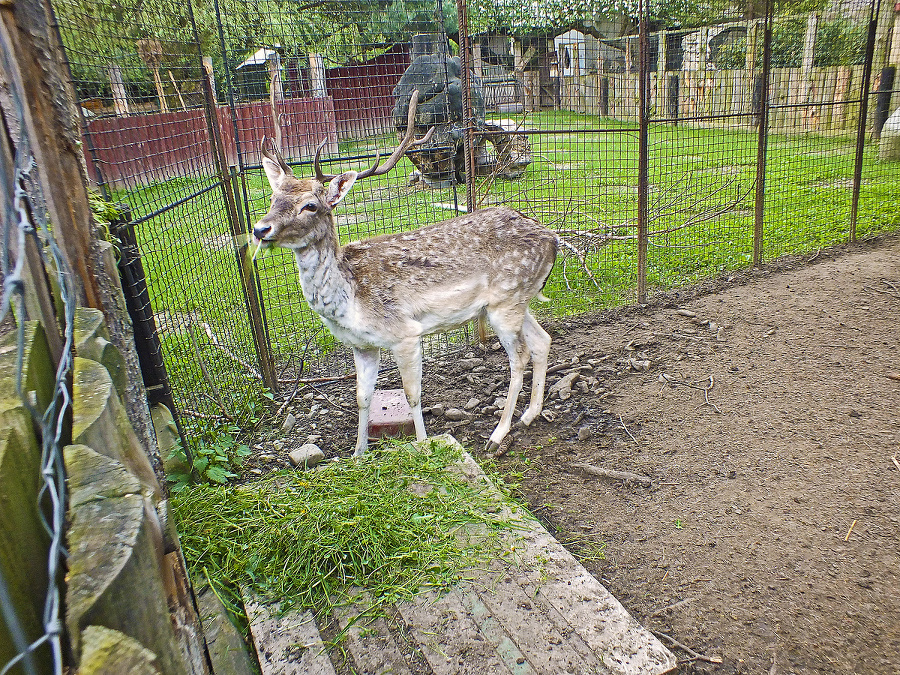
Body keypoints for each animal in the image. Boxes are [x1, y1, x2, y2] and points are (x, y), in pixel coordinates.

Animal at [253, 92, 556, 456]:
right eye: (274, 198)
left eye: (310, 205)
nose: (260, 228)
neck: (350, 299)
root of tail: (554, 240)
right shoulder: (362, 346)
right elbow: (362, 397)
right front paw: (358, 453)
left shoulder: (405, 334)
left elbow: (413, 394)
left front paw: (424, 444)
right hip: (516, 301)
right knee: (542, 340)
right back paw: (530, 414)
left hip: (506, 302)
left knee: (520, 356)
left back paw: (499, 432)